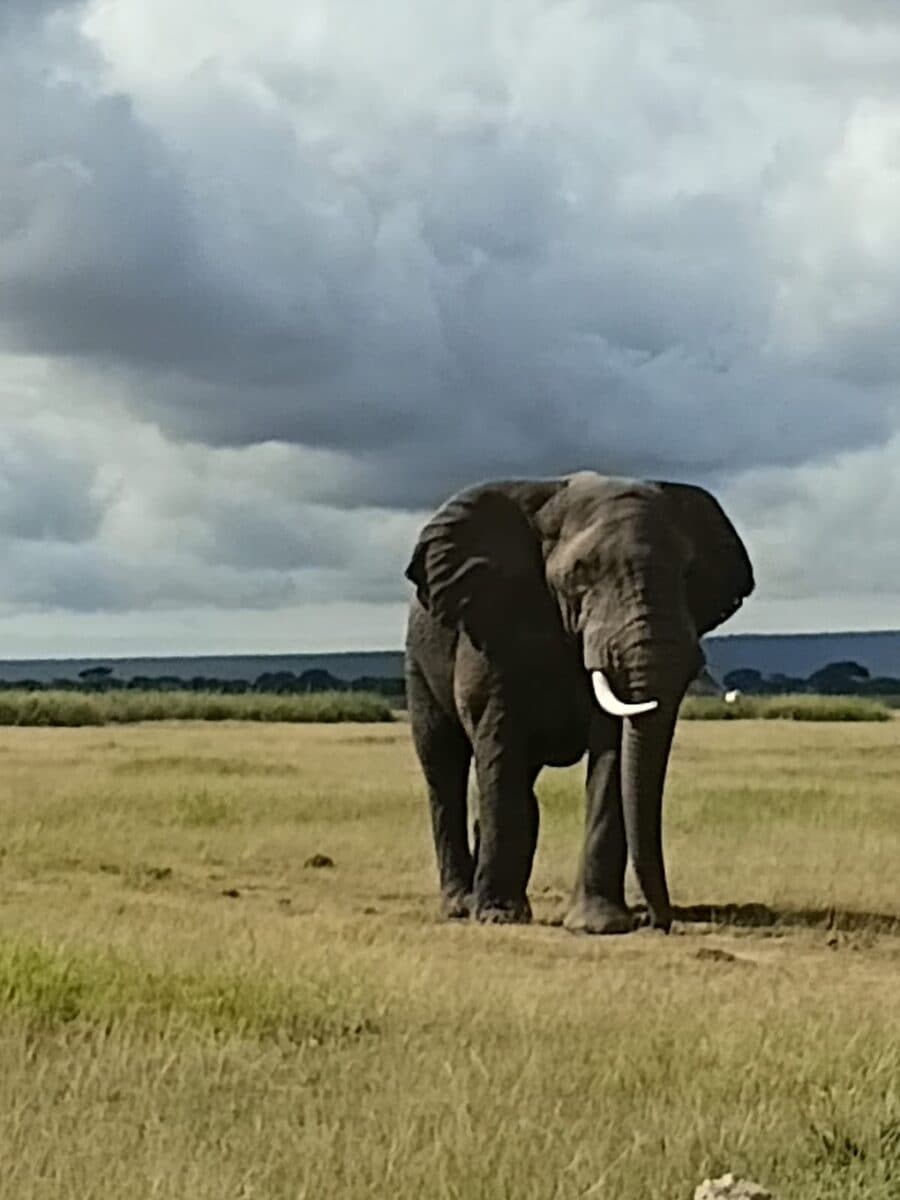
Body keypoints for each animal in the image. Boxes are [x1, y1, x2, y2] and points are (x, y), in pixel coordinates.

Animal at [403, 471, 754, 934]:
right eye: (580, 573)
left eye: (688, 573)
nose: (655, 919)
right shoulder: (494, 625)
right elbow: (499, 738)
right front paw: (499, 917)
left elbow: (612, 754)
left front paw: (600, 925)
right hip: (417, 661)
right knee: (444, 765)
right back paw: (462, 904)